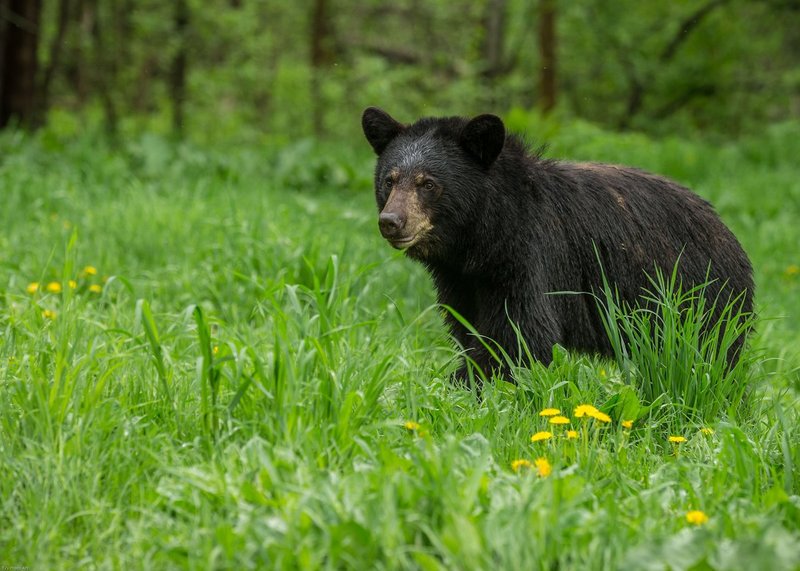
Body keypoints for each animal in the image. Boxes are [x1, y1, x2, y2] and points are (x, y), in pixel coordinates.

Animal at [361, 107, 754, 385]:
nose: (391, 221)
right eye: (389, 180)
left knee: (708, 354)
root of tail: (731, 235)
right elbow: (469, 327)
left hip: (698, 296)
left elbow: (521, 333)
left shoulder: (533, 257)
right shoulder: (462, 281)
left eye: (428, 183)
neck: (484, 240)